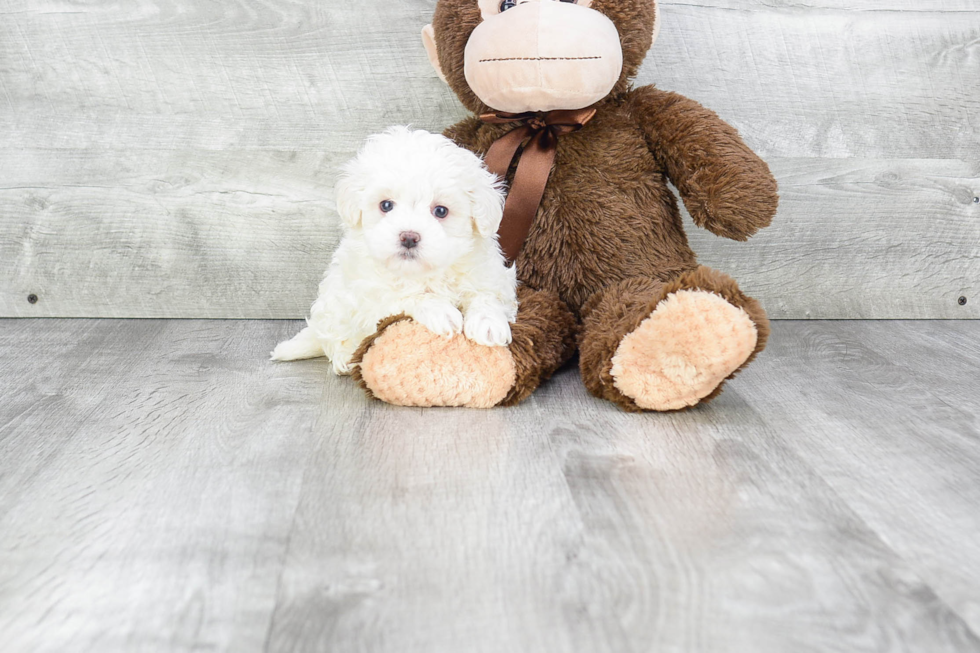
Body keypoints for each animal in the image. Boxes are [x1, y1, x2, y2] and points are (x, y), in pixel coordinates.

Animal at [272, 125, 516, 374]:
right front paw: (439, 310)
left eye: (440, 211)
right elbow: (404, 297)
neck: (423, 274)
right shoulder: (369, 298)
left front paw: (488, 323)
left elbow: (487, 295)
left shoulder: (492, 277)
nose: (408, 237)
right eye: (386, 205)